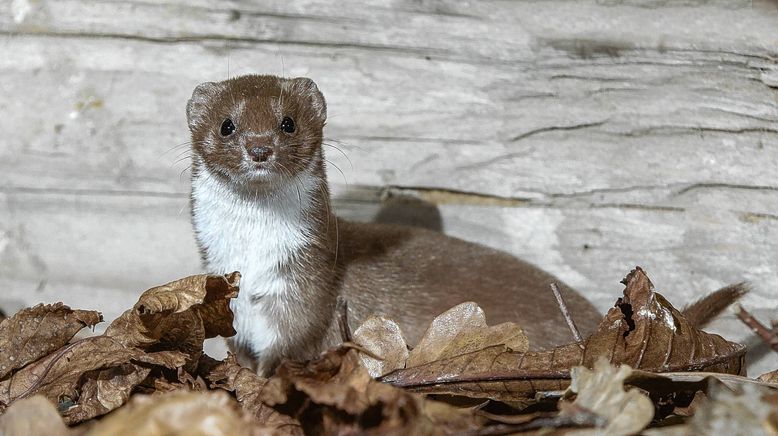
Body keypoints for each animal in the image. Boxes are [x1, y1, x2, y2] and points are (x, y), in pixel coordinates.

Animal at [186, 74, 600, 374]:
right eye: (226, 125)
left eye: (288, 123)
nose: (259, 148)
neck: (254, 257)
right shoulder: (231, 299)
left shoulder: (306, 288)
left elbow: (290, 343)